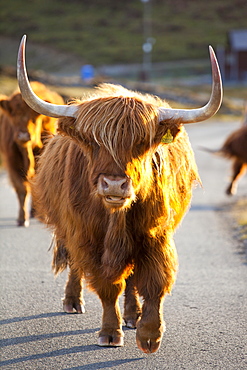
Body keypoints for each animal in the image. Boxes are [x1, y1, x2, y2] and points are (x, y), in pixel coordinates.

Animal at [0, 81, 64, 225]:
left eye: (33, 118)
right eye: (13, 114)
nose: (23, 135)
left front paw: (42, 216)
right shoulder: (12, 163)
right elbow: (21, 188)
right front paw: (22, 218)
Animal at [16, 36, 222, 354]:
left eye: (141, 142)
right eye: (91, 141)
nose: (114, 185)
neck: (117, 218)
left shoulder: (155, 235)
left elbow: (153, 281)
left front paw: (149, 334)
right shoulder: (87, 236)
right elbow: (107, 286)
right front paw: (110, 332)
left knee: (133, 278)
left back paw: (132, 315)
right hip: (68, 229)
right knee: (76, 265)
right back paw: (73, 301)